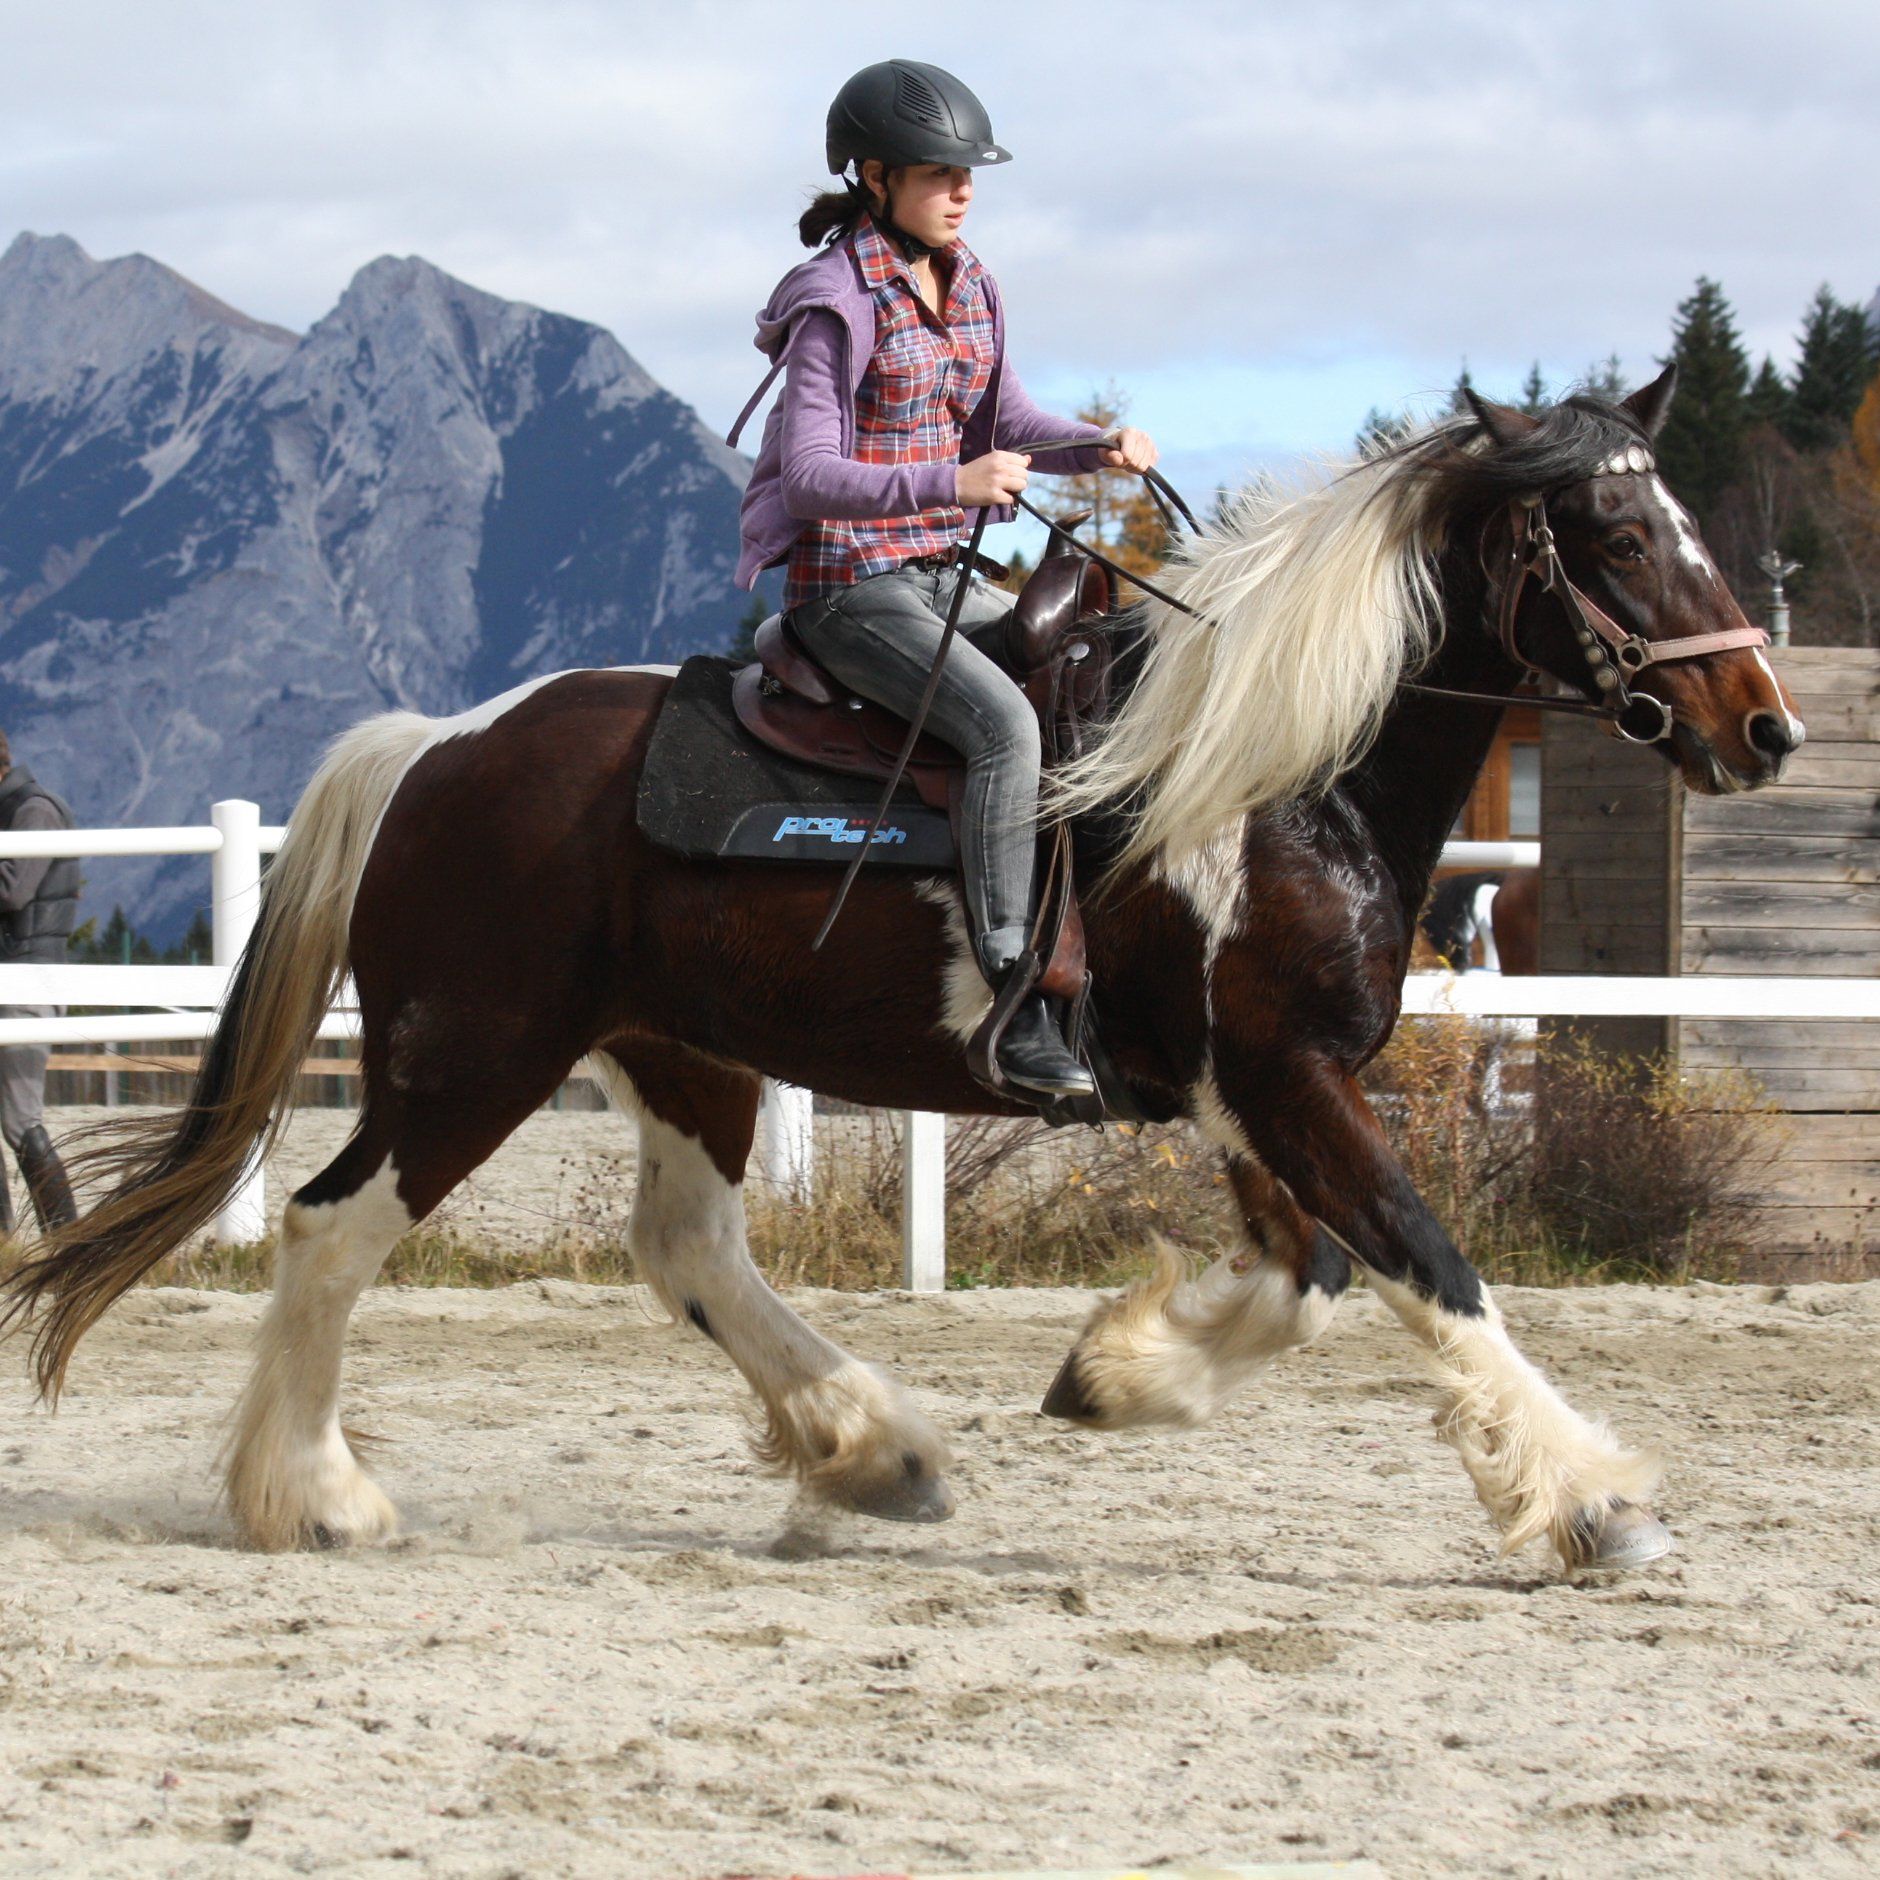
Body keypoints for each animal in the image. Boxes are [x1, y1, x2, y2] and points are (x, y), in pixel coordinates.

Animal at [0, 368, 1803, 1571]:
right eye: (1615, 531)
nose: (1766, 727)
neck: (1268, 774)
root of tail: (439, 746)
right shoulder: (1281, 1080)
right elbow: (1431, 1263)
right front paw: (1593, 1502)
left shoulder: (1242, 1093)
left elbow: (1317, 1282)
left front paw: (1113, 1376)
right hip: (472, 1057)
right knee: (330, 1227)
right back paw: (315, 1495)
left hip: (682, 1056)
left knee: (691, 1251)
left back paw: (871, 1451)